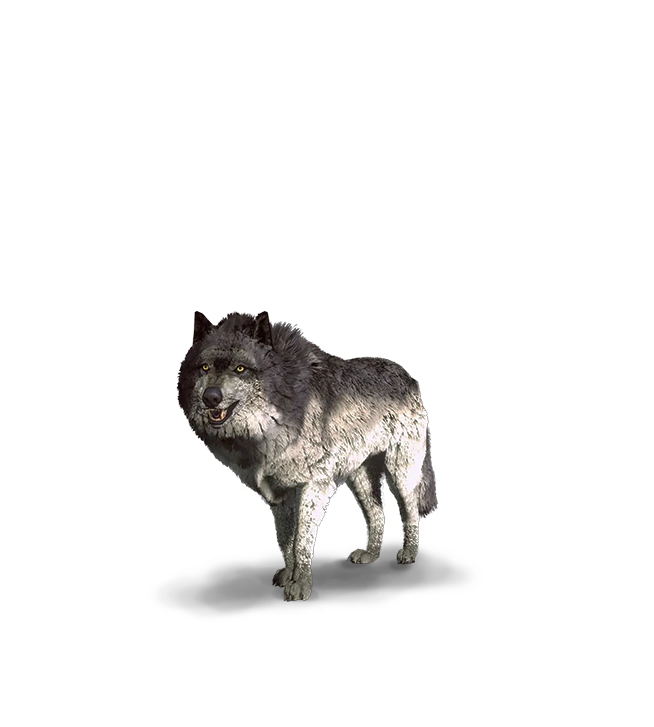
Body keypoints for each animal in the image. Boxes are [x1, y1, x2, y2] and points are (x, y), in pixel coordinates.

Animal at [177, 310, 437, 602]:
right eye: (205, 368)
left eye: (240, 369)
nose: (210, 397)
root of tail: (410, 378)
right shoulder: (279, 495)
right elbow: (285, 541)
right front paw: (288, 577)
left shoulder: (314, 487)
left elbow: (301, 541)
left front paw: (300, 585)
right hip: (359, 477)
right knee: (377, 512)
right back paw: (370, 554)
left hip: (400, 472)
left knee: (410, 509)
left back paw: (409, 554)